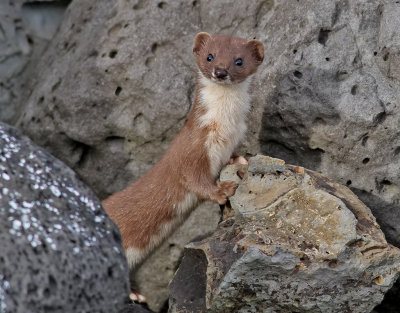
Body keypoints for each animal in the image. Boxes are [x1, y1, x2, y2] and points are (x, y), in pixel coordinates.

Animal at [101, 31, 264, 300]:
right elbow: (194, 179)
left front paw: (238, 160)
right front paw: (222, 190)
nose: (220, 71)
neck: (226, 129)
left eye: (239, 60)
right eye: (210, 56)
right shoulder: (192, 148)